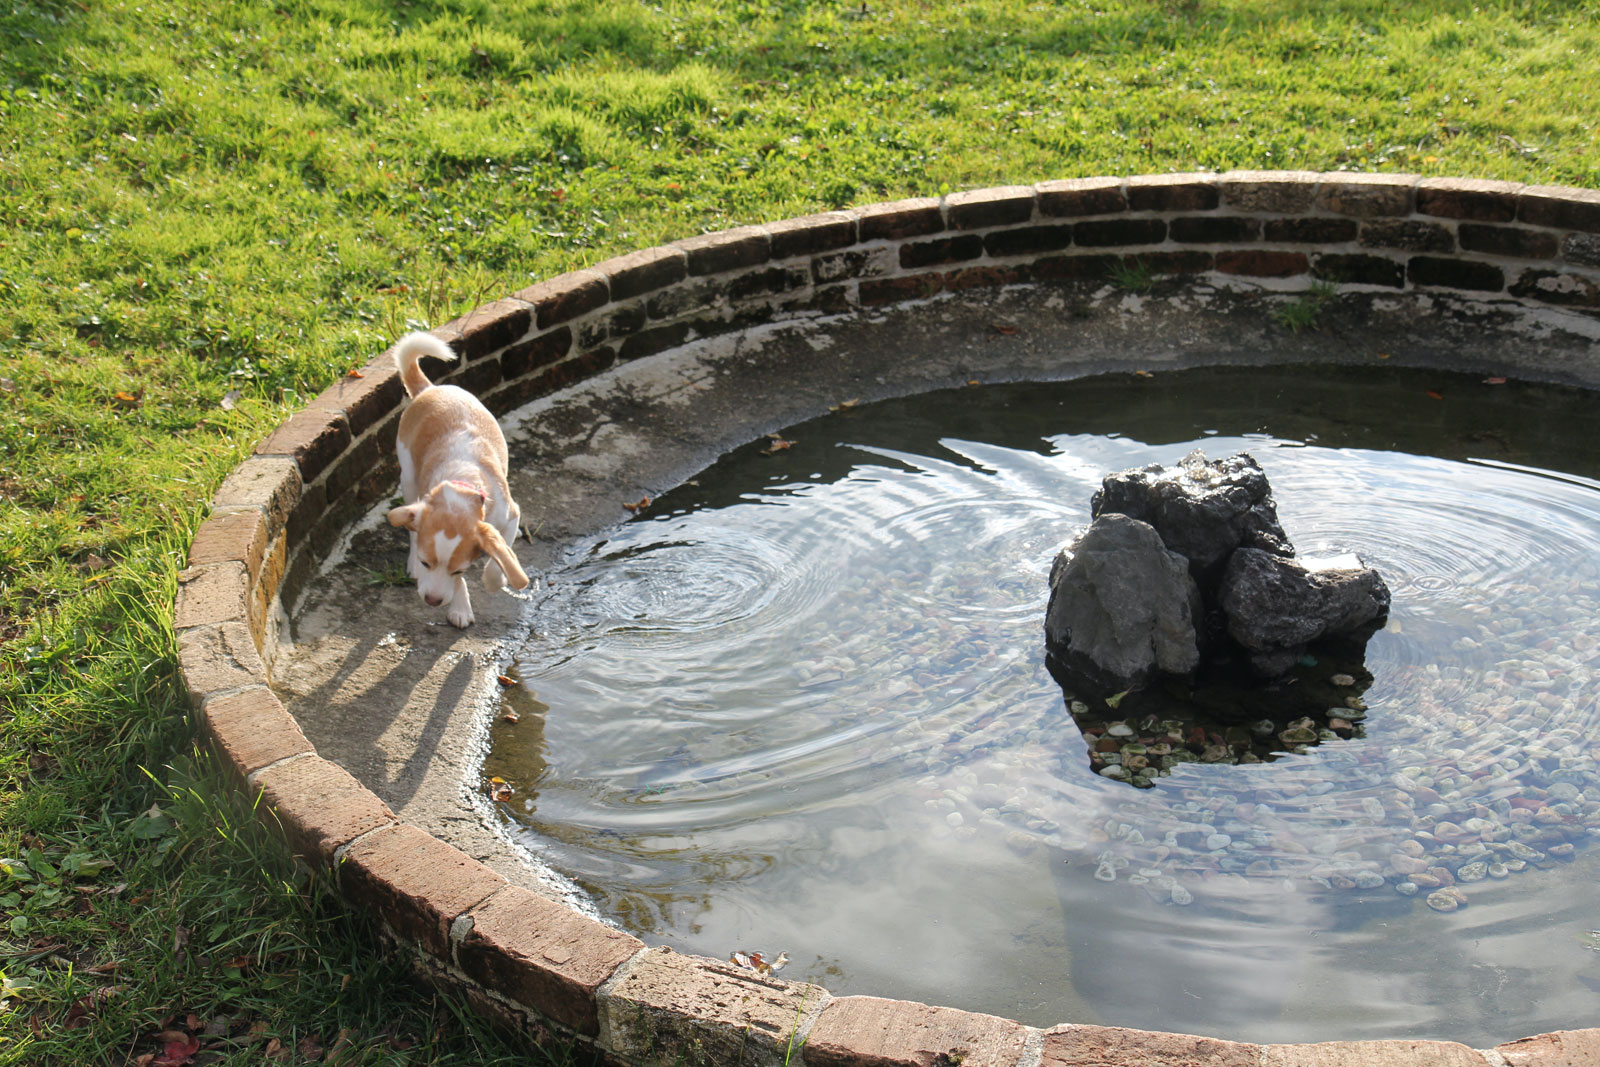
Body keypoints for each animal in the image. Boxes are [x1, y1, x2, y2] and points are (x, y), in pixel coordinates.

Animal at [387, 331, 531, 627]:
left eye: (457, 569)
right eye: (426, 563)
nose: (432, 601)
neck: (460, 486)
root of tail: (429, 389)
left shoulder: (510, 515)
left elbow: (497, 558)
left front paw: (493, 581)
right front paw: (461, 606)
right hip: (408, 478)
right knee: (411, 526)